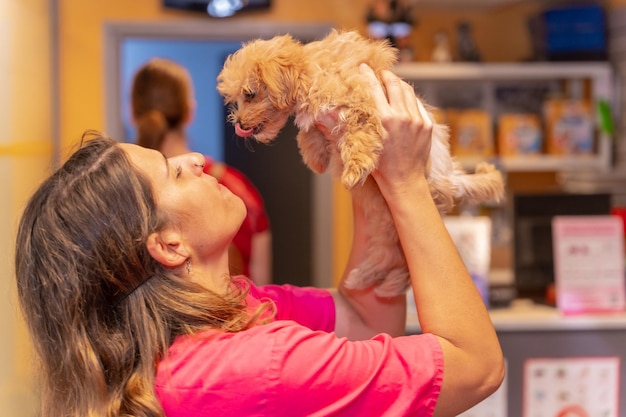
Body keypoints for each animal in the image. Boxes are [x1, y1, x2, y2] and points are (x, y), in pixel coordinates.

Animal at [217, 29, 504, 296]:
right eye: (237, 99)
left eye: (250, 94)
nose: (239, 123)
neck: (309, 72)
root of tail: (450, 179)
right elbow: (310, 132)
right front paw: (316, 157)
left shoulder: (361, 104)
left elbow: (358, 136)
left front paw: (354, 168)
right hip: (384, 220)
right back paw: (366, 279)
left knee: (399, 261)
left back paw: (375, 282)